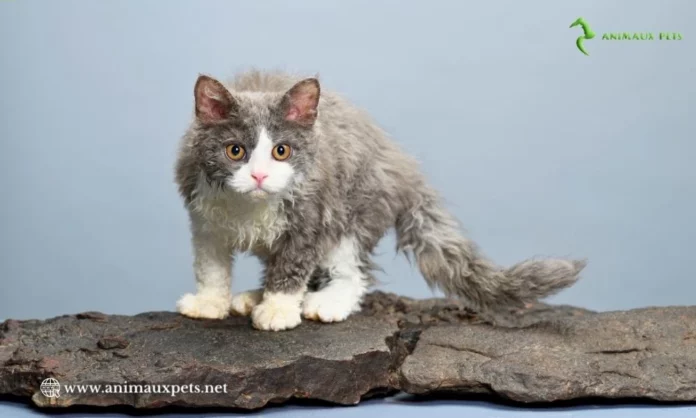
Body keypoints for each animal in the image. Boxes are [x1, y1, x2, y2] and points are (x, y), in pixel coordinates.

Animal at [173, 70, 580, 332]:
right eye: (235, 151)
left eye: (281, 151)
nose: (259, 176)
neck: (250, 207)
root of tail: (402, 165)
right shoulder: (204, 217)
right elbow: (210, 266)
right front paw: (210, 303)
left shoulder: (311, 217)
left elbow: (291, 269)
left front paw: (278, 310)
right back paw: (252, 297)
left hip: (353, 212)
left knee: (355, 273)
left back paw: (325, 302)